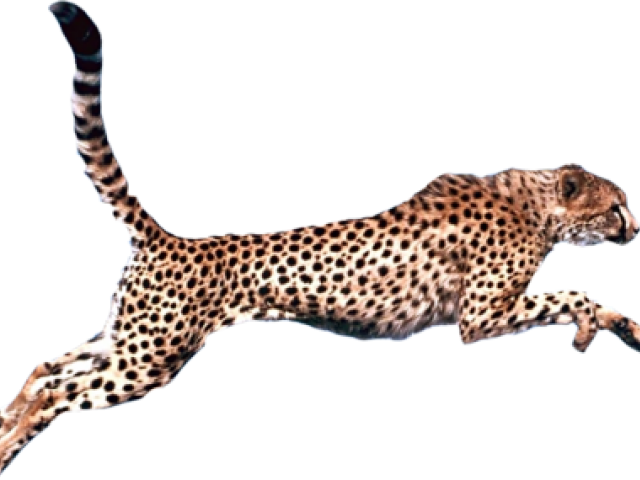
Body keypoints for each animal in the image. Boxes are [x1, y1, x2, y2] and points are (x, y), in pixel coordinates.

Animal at [2, 0, 639, 474]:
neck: (536, 204)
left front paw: (620, 328)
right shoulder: (481, 317)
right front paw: (594, 326)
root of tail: (168, 239)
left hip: (127, 338)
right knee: (58, 391)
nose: (637, 226)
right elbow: (568, 296)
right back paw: (11, 445)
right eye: (616, 206)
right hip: (149, 355)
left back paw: (5, 434)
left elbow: (584, 301)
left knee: (44, 370)